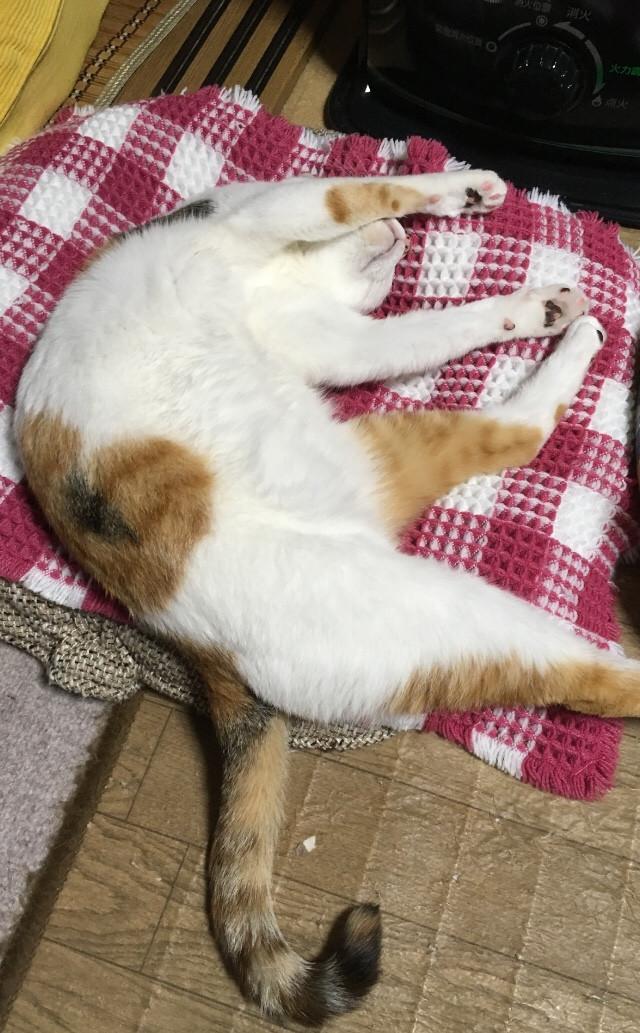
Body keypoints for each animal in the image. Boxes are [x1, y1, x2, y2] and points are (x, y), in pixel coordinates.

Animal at [15, 169, 640, 1026]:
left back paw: (551, 317)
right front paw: (449, 193)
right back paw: (570, 328)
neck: (287, 279)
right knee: (587, 644)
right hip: (447, 600)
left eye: (391, 271)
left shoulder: (333, 338)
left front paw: (472, 210)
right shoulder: (275, 213)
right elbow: (367, 191)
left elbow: (423, 321)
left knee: (505, 433)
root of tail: (205, 657)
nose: (401, 247)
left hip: (391, 464)